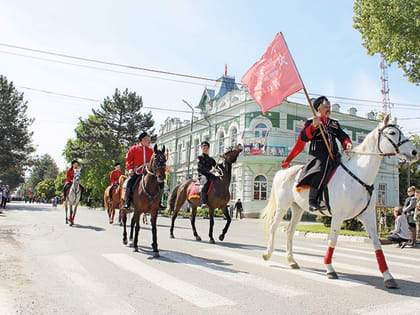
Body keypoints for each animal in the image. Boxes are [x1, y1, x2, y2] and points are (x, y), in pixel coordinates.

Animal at [262, 116, 416, 288]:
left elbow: (377, 244)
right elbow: (333, 239)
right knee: (273, 227)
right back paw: (268, 254)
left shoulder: (368, 216)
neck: (358, 175)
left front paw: (388, 276)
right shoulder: (338, 215)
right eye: (392, 133)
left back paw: (292, 261)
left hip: (297, 209)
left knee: (290, 231)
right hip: (283, 206)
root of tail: (283, 171)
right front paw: (329, 269)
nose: (414, 152)